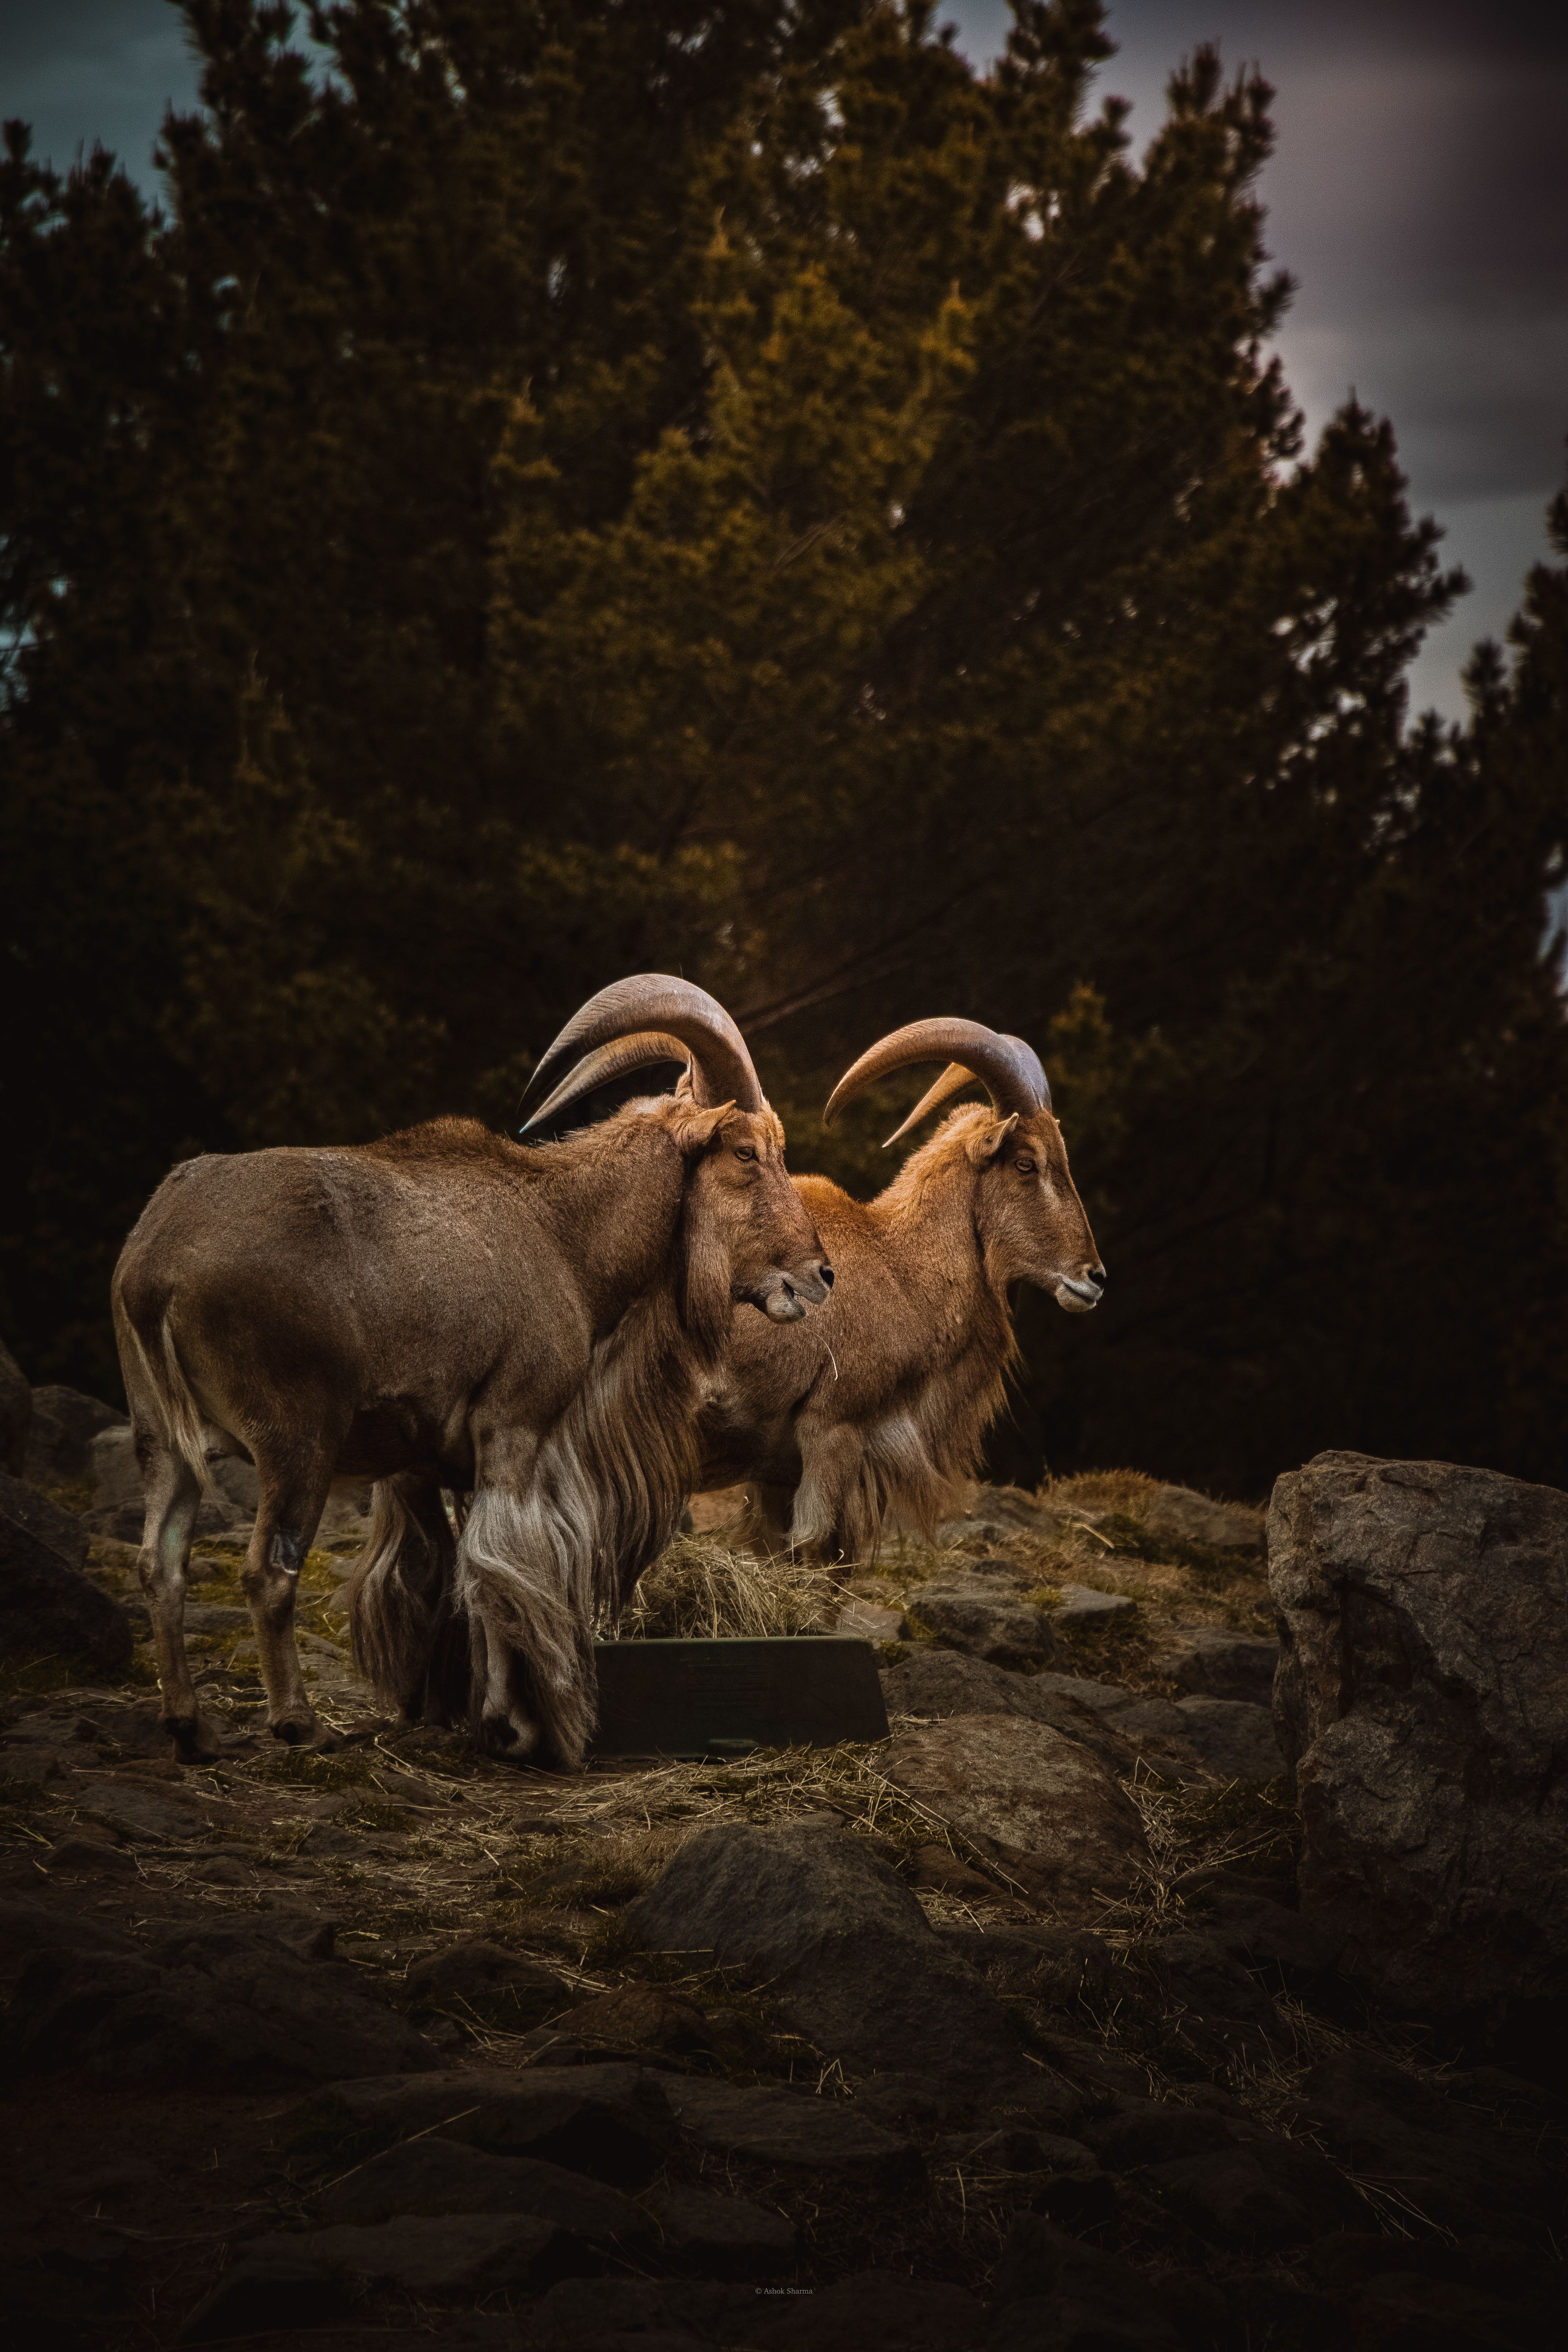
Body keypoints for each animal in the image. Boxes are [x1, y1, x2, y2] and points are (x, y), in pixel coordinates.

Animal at [112, 977, 831, 1767]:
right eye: (746, 1152)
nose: (819, 1275)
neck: (563, 1231)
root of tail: (155, 1265)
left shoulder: (440, 1463)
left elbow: (456, 1571)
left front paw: (460, 1714)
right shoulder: (514, 1428)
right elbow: (496, 1570)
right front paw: (514, 1726)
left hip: (160, 1442)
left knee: (160, 1564)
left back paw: (192, 1727)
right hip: (296, 1443)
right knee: (268, 1571)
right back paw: (299, 1723)